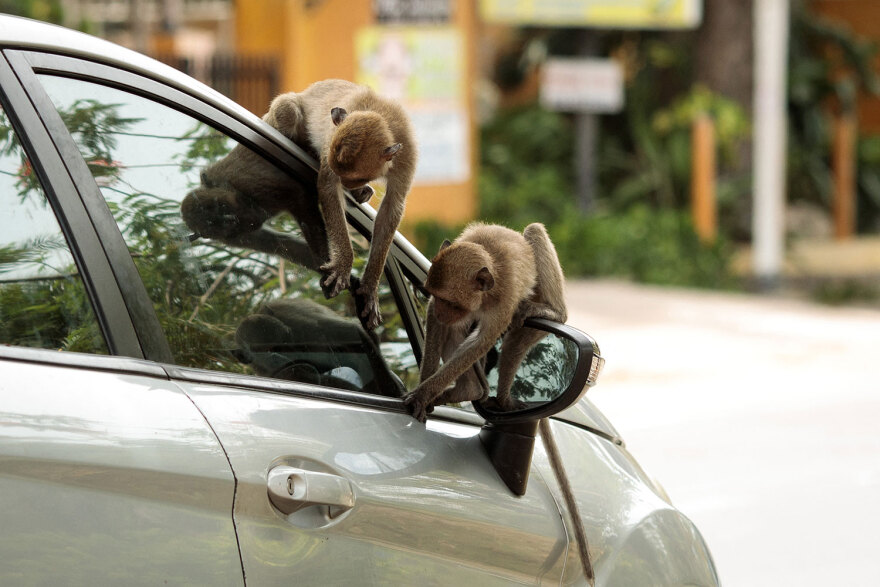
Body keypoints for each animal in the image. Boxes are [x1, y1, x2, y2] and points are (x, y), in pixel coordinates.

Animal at [262, 79, 418, 330]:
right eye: (342, 175)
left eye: (356, 177)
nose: (348, 185)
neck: (379, 115)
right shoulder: (331, 141)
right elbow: (327, 187)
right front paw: (344, 265)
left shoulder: (406, 156)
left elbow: (391, 210)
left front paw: (370, 287)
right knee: (289, 109)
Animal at [402, 222, 568, 422]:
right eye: (436, 296)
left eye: (450, 303)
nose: (441, 313)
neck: (484, 297)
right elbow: (436, 321)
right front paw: (424, 386)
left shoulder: (505, 301)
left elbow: (481, 342)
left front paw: (422, 394)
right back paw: (470, 391)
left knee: (534, 229)